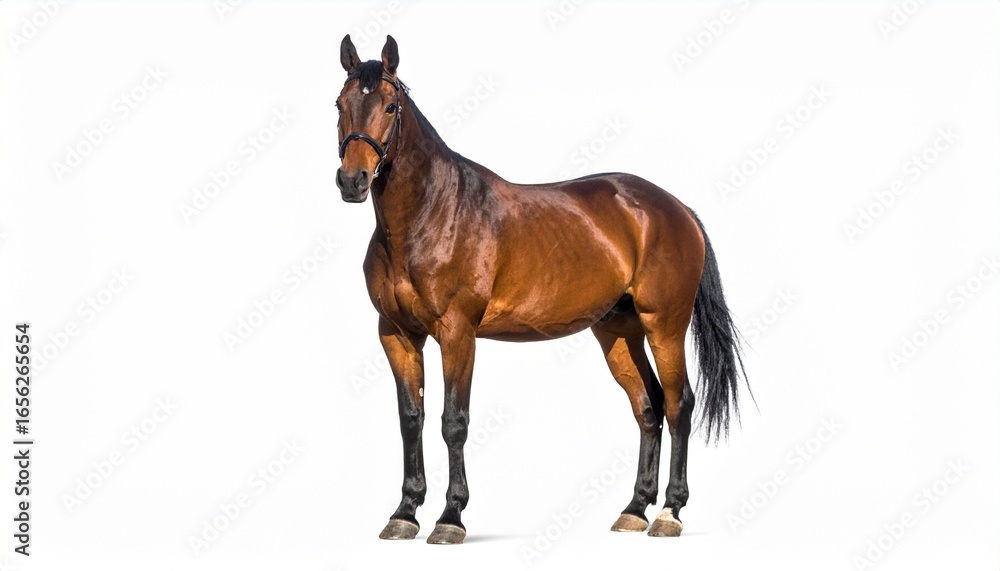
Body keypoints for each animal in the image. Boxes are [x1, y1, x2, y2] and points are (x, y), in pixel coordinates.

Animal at [335, 34, 749, 545]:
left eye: (390, 106)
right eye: (340, 104)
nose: (351, 181)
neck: (432, 214)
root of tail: (675, 208)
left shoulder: (457, 333)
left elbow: (454, 422)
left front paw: (451, 517)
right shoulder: (396, 334)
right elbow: (411, 420)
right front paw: (405, 513)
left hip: (665, 325)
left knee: (678, 405)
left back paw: (670, 512)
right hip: (618, 332)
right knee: (647, 407)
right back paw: (634, 509)